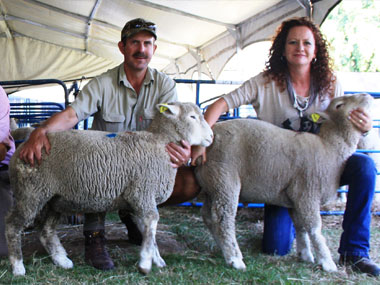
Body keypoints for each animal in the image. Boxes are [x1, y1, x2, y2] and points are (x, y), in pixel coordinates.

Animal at [6, 101, 214, 276]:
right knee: (13, 226)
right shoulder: (142, 191)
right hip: (30, 192)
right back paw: (18, 267)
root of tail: (22, 148)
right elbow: (153, 221)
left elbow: (149, 230)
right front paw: (145, 263)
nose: (211, 136)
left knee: (46, 231)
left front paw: (156, 259)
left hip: (54, 199)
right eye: (192, 117)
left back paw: (62, 260)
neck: (160, 144)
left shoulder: (141, 197)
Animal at [196, 92, 374, 270]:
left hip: (212, 183)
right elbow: (314, 228)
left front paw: (305, 254)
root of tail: (210, 135)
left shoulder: (296, 198)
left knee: (209, 217)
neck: (329, 147)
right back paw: (235, 258)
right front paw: (326, 261)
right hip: (225, 179)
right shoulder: (307, 192)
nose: (367, 95)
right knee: (223, 219)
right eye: (339, 105)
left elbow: (301, 227)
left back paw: (223, 248)